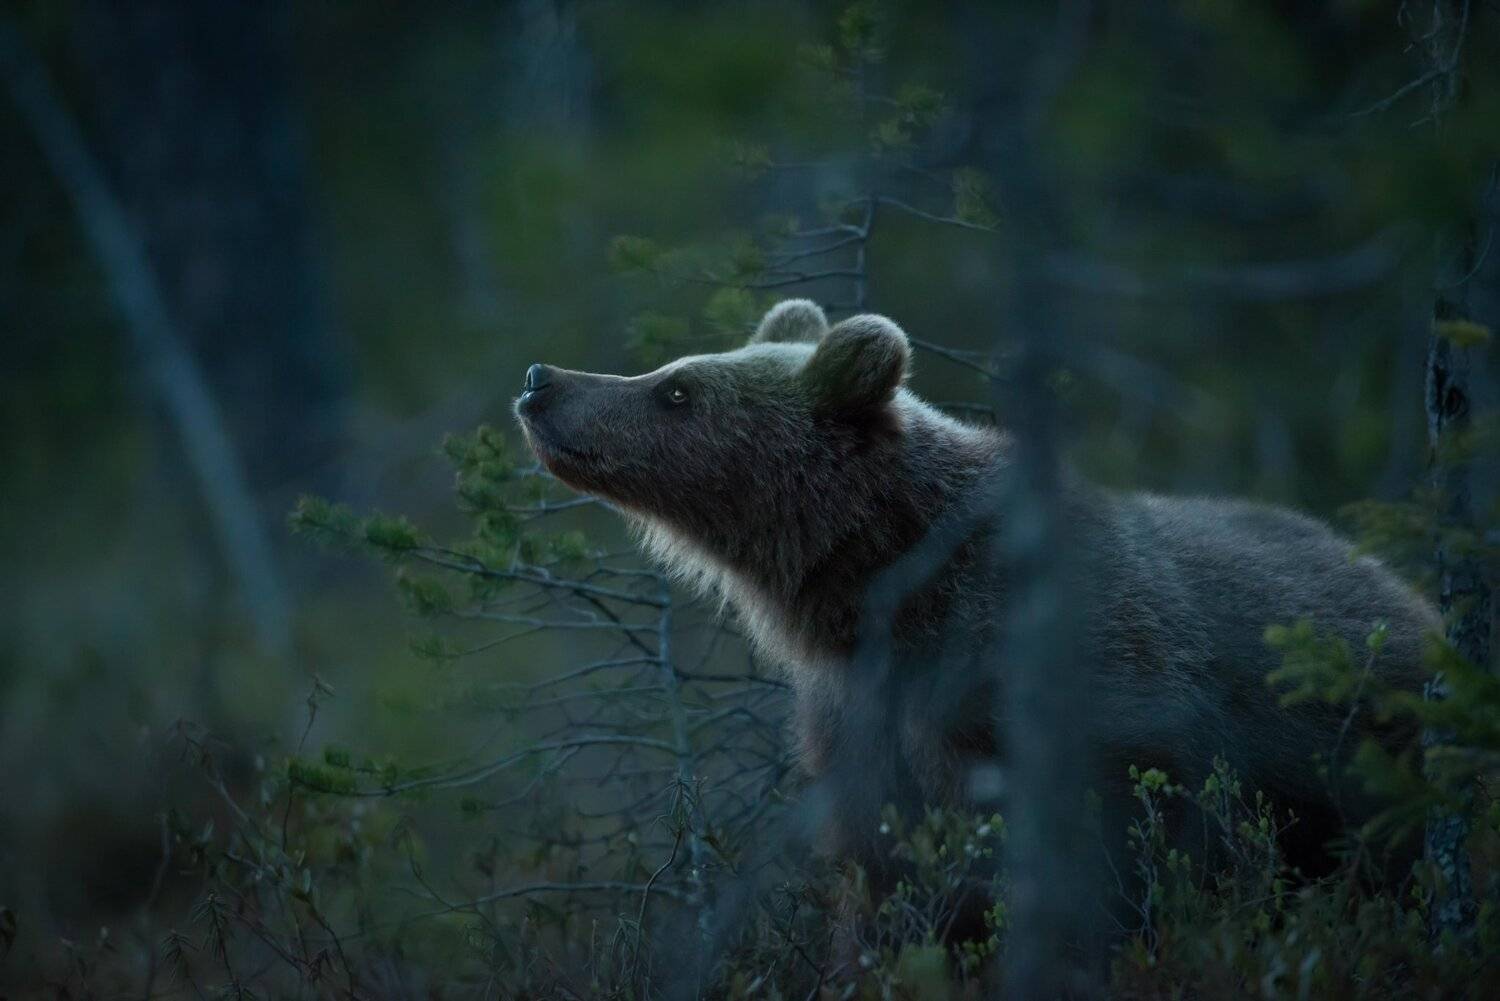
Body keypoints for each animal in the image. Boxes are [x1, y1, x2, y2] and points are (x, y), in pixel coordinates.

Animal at [513, 298, 1437, 901]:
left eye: (678, 390)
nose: (540, 377)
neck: (879, 591)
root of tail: (1411, 593)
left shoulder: (1090, 709)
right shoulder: (862, 722)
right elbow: (883, 873)